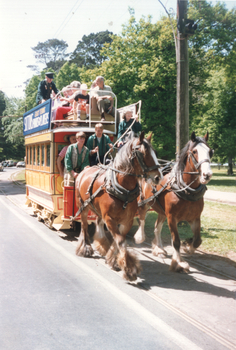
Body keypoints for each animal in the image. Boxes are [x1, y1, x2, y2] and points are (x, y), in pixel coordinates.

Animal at [74, 131, 162, 282]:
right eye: (143, 153)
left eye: (155, 152)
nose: (157, 177)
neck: (122, 188)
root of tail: (85, 170)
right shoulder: (110, 218)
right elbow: (120, 240)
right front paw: (129, 269)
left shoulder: (126, 220)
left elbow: (119, 239)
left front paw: (113, 260)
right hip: (83, 205)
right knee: (84, 226)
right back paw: (85, 248)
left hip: (97, 208)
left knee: (98, 222)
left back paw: (102, 245)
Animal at [135, 131, 214, 270]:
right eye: (194, 151)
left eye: (210, 152)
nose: (207, 175)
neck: (185, 189)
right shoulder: (172, 217)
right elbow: (175, 241)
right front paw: (178, 262)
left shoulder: (195, 217)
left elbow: (198, 240)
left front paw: (188, 246)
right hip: (143, 203)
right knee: (142, 219)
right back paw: (140, 237)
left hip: (161, 210)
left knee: (157, 228)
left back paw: (159, 248)